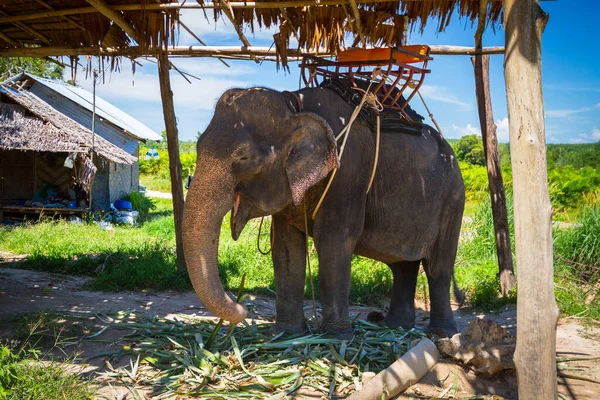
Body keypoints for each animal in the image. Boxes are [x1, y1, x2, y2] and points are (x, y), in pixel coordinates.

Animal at [182, 81, 464, 338]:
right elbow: (285, 246)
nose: (242, 308)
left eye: (243, 158)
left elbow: (334, 241)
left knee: (438, 267)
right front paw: (287, 334)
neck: (294, 105)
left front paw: (336, 338)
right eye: (197, 146)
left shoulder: (348, 172)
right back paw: (394, 327)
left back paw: (441, 334)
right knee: (403, 265)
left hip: (452, 201)